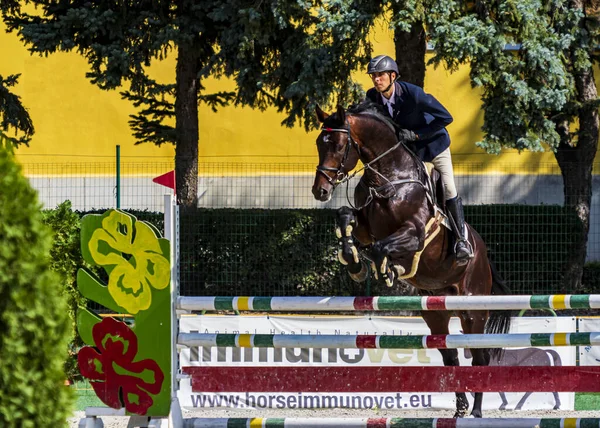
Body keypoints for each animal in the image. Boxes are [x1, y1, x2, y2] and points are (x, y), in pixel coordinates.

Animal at [310, 101, 510, 418]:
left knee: (479, 357)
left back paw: (477, 413)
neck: (388, 178)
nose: (320, 191)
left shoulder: (414, 234)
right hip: (436, 312)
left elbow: (381, 247)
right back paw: (460, 409)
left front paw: (386, 269)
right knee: (450, 355)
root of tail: (484, 256)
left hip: (473, 311)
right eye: (319, 143)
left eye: (340, 145)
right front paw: (354, 261)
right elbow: (345, 217)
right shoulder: (365, 224)